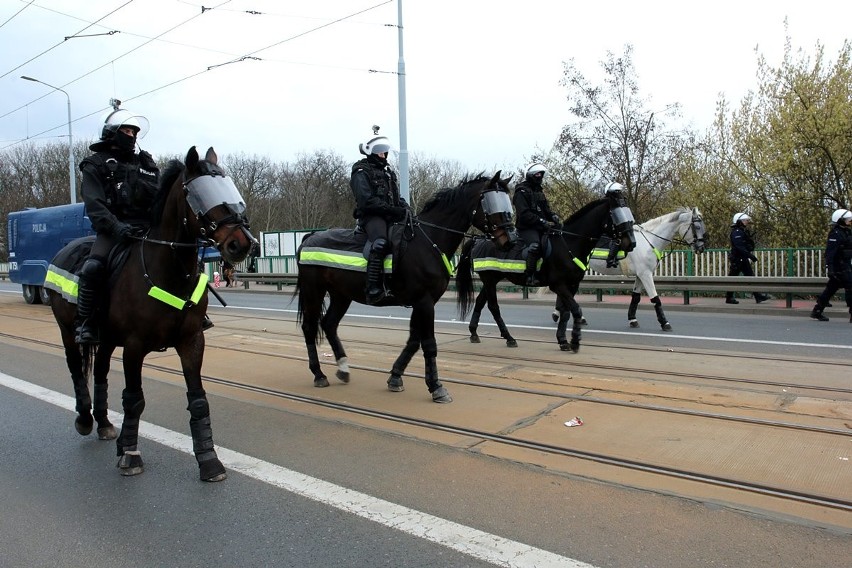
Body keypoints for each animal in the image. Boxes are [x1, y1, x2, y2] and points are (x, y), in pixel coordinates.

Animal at [46, 146, 255, 480]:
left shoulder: (191, 342)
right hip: (68, 332)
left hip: (106, 340)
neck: (169, 271)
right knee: (77, 370)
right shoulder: (134, 346)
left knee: (100, 373)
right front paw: (131, 455)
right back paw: (85, 420)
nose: (243, 244)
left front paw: (208, 460)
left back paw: (104, 424)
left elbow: (198, 400)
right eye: (199, 194)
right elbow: (134, 400)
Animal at [296, 173, 516, 404]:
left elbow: (413, 341)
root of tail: (309, 237)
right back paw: (319, 374)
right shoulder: (424, 302)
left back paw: (343, 369)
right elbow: (428, 343)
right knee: (310, 327)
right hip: (314, 291)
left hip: (341, 295)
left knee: (329, 324)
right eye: (490, 202)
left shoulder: (422, 303)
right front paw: (436, 387)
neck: (428, 241)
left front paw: (395, 377)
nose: (511, 239)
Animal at [456, 194, 636, 350]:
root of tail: (479, 240)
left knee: (480, 301)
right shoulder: (558, 285)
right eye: (616, 215)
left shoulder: (572, 285)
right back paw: (509, 337)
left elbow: (565, 312)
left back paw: (474, 333)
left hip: (492, 279)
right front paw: (575, 340)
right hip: (489, 278)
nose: (631, 243)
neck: (569, 243)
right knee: (493, 306)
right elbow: (575, 309)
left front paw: (563, 340)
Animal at [552, 206, 704, 330]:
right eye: (696, 227)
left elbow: (635, 297)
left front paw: (632, 319)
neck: (649, 241)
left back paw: (561, 314)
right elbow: (655, 298)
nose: (701, 248)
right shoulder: (646, 275)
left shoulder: (641, 275)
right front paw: (664, 322)